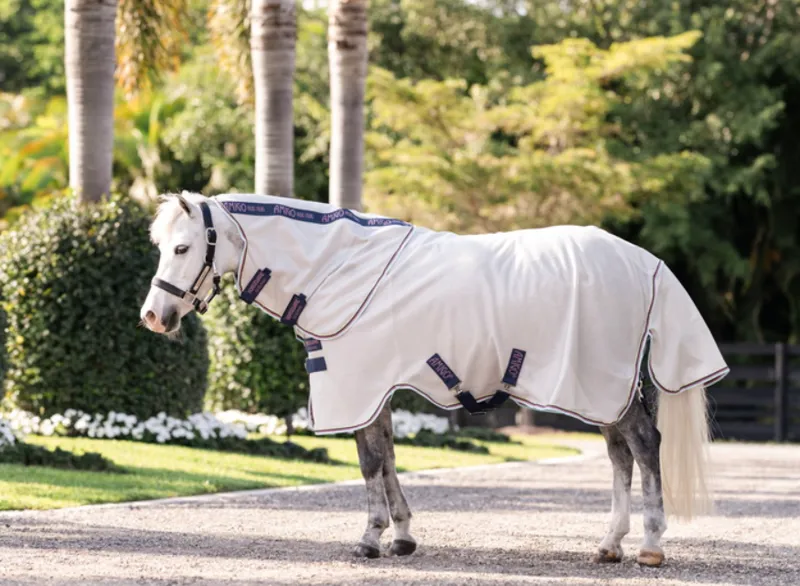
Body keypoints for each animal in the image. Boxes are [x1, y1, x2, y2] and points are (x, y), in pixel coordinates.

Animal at [140, 191, 729, 567]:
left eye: (184, 248)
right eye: (162, 246)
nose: (153, 317)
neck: (339, 266)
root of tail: (645, 262)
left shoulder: (357, 382)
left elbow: (370, 461)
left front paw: (371, 538)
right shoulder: (376, 388)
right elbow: (387, 457)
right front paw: (401, 537)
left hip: (600, 384)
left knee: (644, 445)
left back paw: (650, 547)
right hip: (603, 390)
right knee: (620, 454)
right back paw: (610, 544)